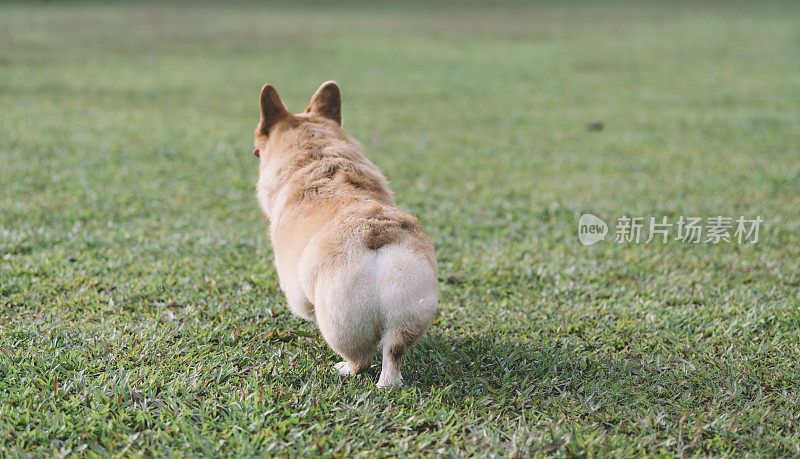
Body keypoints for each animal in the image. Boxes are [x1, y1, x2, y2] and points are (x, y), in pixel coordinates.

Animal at [253, 81, 438, 386]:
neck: (315, 151)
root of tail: (377, 236)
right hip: (410, 313)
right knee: (393, 351)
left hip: (339, 323)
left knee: (360, 359)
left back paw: (342, 368)